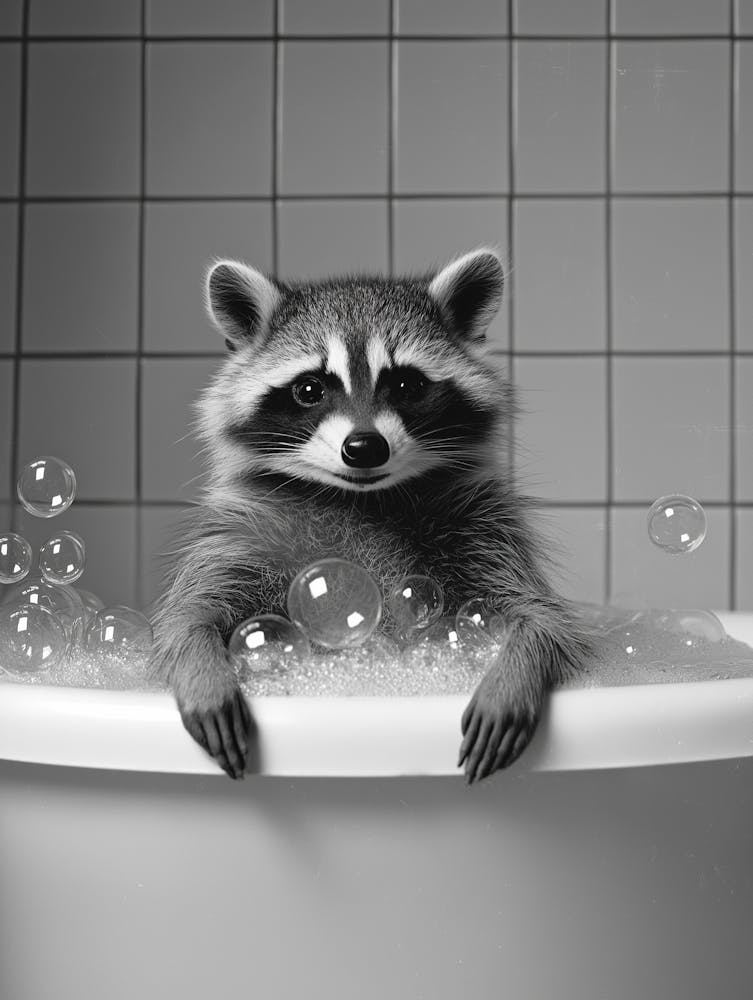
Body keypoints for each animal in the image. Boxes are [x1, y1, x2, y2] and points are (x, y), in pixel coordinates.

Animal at [150, 249, 594, 784]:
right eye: (309, 389)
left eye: (406, 384)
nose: (364, 447)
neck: (361, 498)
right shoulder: (241, 531)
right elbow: (185, 617)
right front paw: (201, 666)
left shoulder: (486, 528)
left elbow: (544, 621)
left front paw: (515, 670)